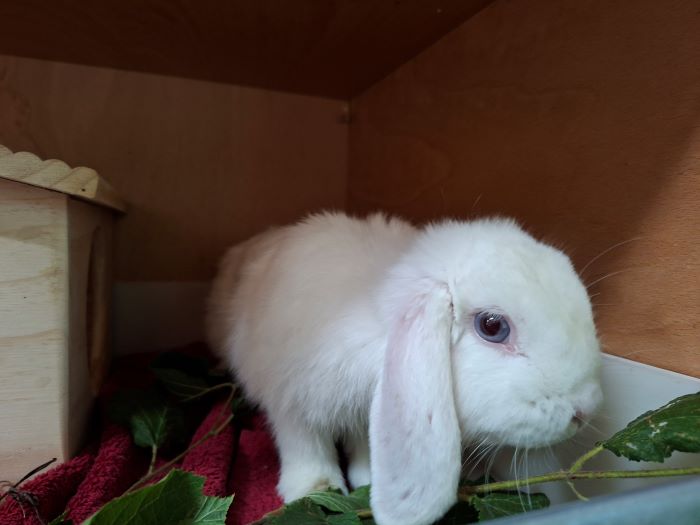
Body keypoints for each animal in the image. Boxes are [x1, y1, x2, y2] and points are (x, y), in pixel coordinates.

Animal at [205, 211, 602, 525]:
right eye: (492, 326)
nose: (583, 410)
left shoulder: (373, 413)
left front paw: (367, 480)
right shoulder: (291, 400)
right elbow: (305, 445)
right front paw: (315, 490)